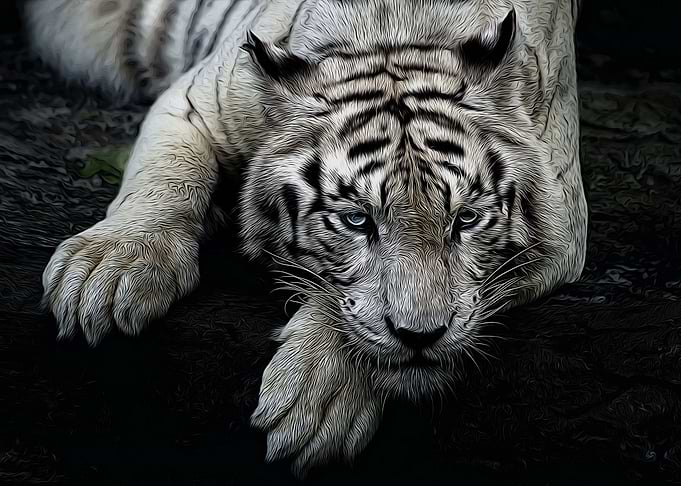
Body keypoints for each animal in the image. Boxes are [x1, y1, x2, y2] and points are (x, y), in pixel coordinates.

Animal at [26, 0, 588, 476]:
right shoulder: (193, 105)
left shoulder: (563, 225)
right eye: (358, 221)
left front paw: (319, 398)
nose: (421, 337)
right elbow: (164, 180)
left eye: (466, 220)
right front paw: (107, 272)